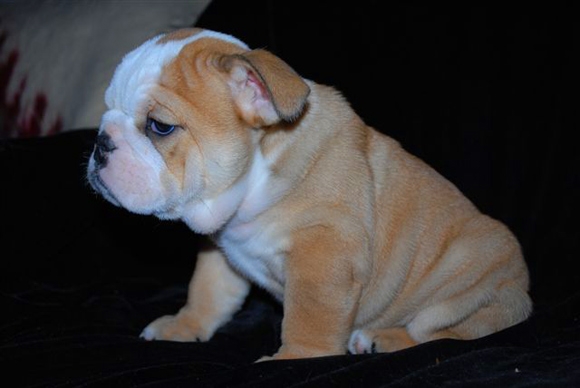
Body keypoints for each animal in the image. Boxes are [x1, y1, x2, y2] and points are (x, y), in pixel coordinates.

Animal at [84, 28, 532, 360]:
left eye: (160, 127)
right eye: (107, 110)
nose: (101, 143)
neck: (253, 181)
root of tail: (522, 292)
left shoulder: (325, 252)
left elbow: (309, 315)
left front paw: (294, 358)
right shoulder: (220, 251)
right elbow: (207, 292)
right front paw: (184, 325)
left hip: (470, 287)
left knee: (445, 334)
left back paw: (382, 338)